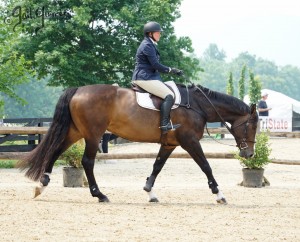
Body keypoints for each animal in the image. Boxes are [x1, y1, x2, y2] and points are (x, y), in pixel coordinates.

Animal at [18, 83, 258, 204]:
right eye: (252, 125)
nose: (249, 154)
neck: (198, 105)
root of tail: (78, 89)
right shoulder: (189, 141)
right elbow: (206, 166)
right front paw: (219, 194)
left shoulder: (170, 144)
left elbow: (157, 166)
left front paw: (149, 192)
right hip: (93, 135)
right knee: (87, 161)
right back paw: (99, 195)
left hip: (75, 132)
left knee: (54, 151)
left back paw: (41, 185)